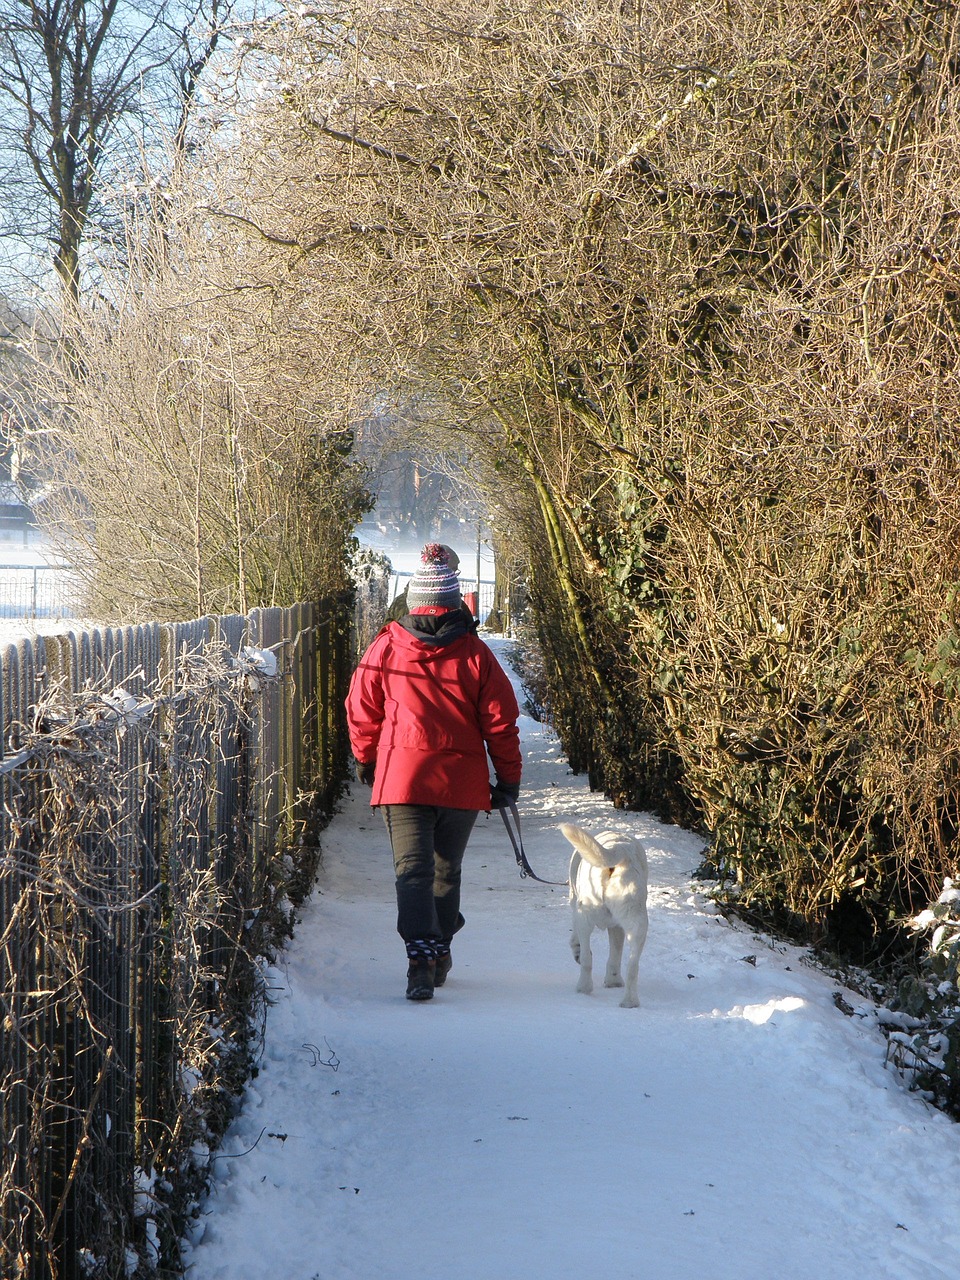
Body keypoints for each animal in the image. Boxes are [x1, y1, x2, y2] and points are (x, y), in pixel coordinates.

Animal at [560, 819, 650, 1008]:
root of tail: (620, 849)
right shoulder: (617, 927)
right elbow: (615, 955)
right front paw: (613, 981)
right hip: (637, 922)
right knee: (632, 967)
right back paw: (629, 1002)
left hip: (584, 914)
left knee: (587, 959)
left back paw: (583, 987)